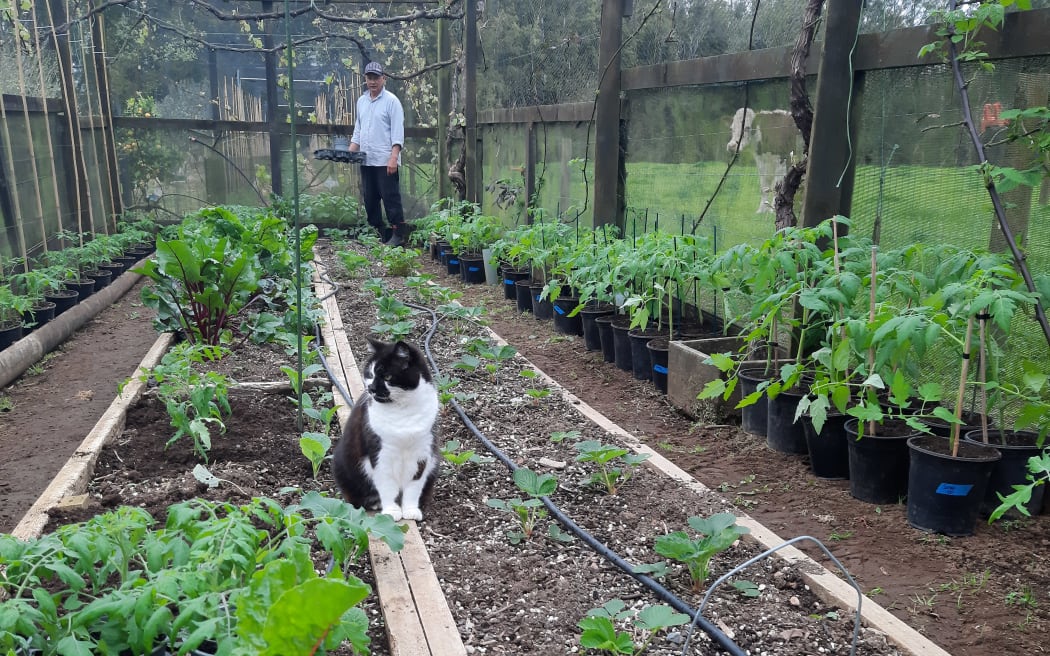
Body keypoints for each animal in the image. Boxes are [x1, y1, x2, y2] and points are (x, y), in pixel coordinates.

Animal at [331, 335, 438, 518]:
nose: (371, 388)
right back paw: (375, 503)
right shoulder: (380, 452)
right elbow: (387, 485)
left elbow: (414, 486)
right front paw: (391, 512)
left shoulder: (422, 453)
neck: (402, 410)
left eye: (387, 377)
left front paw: (410, 510)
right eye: (370, 374)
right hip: (342, 464)